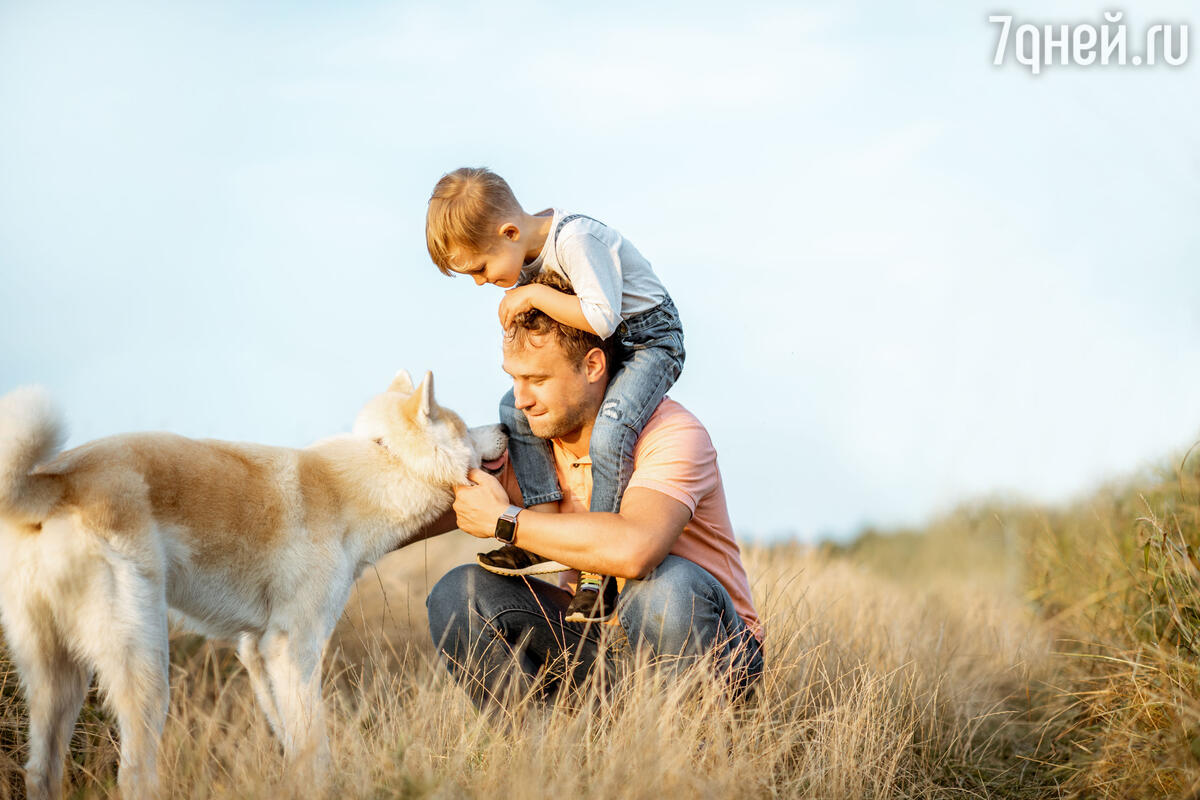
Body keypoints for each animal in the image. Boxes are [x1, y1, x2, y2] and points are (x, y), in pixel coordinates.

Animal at [0, 374, 504, 800]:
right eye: (464, 425)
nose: (504, 424)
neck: (376, 468)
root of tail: (52, 480)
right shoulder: (295, 648)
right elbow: (314, 745)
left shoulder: (258, 651)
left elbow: (295, 744)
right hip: (145, 664)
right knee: (134, 773)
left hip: (56, 678)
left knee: (42, 770)